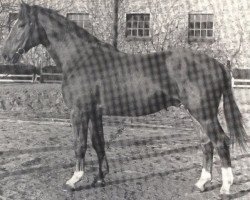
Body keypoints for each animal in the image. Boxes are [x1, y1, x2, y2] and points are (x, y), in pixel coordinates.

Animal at [2, 3, 248, 196]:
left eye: (21, 25)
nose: (5, 55)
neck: (81, 59)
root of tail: (217, 64)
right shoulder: (95, 112)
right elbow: (98, 143)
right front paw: (100, 178)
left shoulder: (79, 111)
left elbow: (79, 144)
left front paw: (73, 181)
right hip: (195, 114)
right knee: (206, 144)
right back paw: (201, 183)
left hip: (204, 114)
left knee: (221, 141)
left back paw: (226, 187)